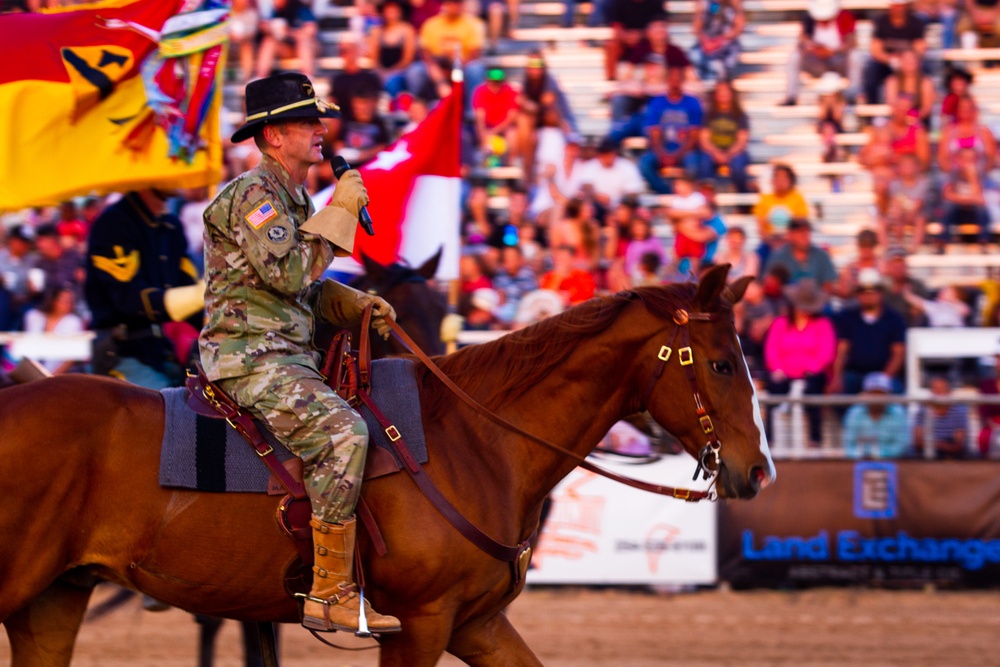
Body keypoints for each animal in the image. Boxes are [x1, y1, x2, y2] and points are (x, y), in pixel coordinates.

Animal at [0, 264, 772, 664]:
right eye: (722, 362)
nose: (760, 470)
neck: (476, 440)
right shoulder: (423, 622)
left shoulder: (477, 623)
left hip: (54, 599)